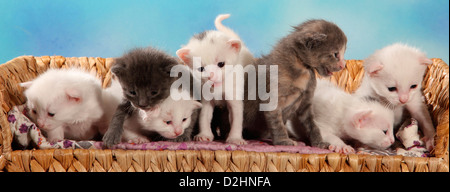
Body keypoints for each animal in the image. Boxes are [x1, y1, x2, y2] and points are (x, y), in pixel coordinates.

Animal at [175, 14, 255, 145]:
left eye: (221, 64)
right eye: (201, 68)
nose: (211, 75)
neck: (217, 88)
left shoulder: (234, 96)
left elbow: (236, 118)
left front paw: (235, 138)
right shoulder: (205, 98)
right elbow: (204, 117)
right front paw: (204, 135)